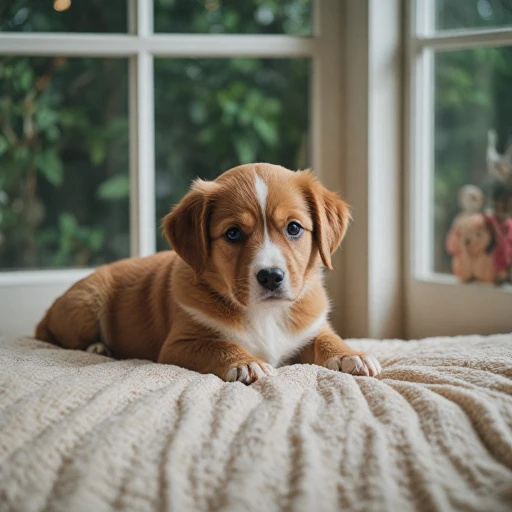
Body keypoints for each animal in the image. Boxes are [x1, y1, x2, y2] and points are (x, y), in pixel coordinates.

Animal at [35, 164, 380, 384]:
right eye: (233, 233)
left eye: (294, 228)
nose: (271, 276)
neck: (265, 315)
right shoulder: (180, 344)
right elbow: (219, 346)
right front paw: (246, 363)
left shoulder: (311, 328)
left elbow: (329, 338)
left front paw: (352, 356)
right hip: (84, 305)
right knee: (54, 336)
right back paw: (97, 348)